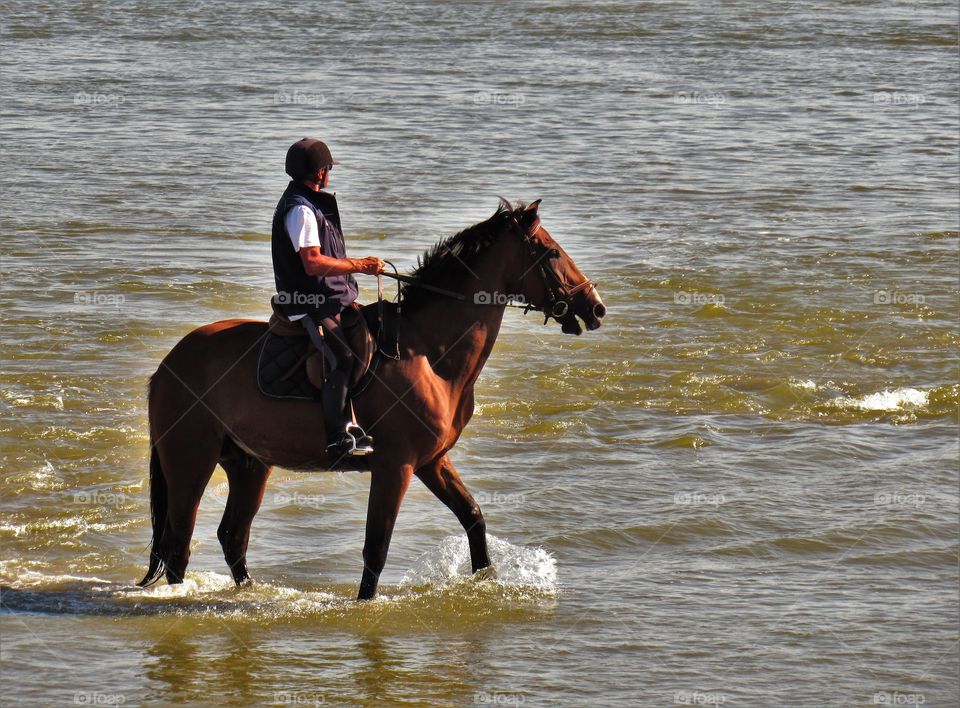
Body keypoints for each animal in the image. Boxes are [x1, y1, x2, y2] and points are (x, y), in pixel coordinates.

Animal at [141, 198, 608, 596]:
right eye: (551, 254)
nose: (596, 307)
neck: (429, 354)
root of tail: (168, 365)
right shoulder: (394, 466)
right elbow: (376, 549)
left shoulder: (432, 461)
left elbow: (474, 518)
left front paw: (485, 581)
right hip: (191, 461)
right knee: (179, 544)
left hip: (248, 464)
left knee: (232, 536)